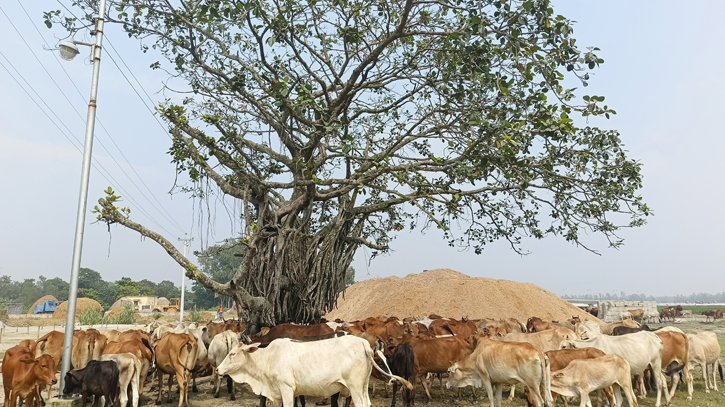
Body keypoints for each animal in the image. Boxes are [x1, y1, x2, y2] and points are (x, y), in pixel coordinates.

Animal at [215, 334, 410, 407]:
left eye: (232, 354)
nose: (217, 369)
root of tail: (363, 343)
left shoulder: (287, 390)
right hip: (362, 387)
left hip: (355, 388)